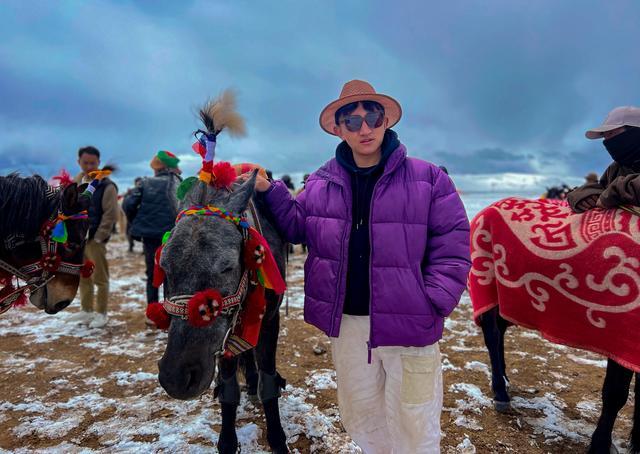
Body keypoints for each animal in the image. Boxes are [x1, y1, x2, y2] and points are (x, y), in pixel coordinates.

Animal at [468, 198, 640, 454]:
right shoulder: (621, 340)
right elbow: (615, 394)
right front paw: (599, 445)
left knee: (500, 333)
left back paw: (505, 381)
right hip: (487, 283)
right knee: (492, 335)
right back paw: (500, 392)